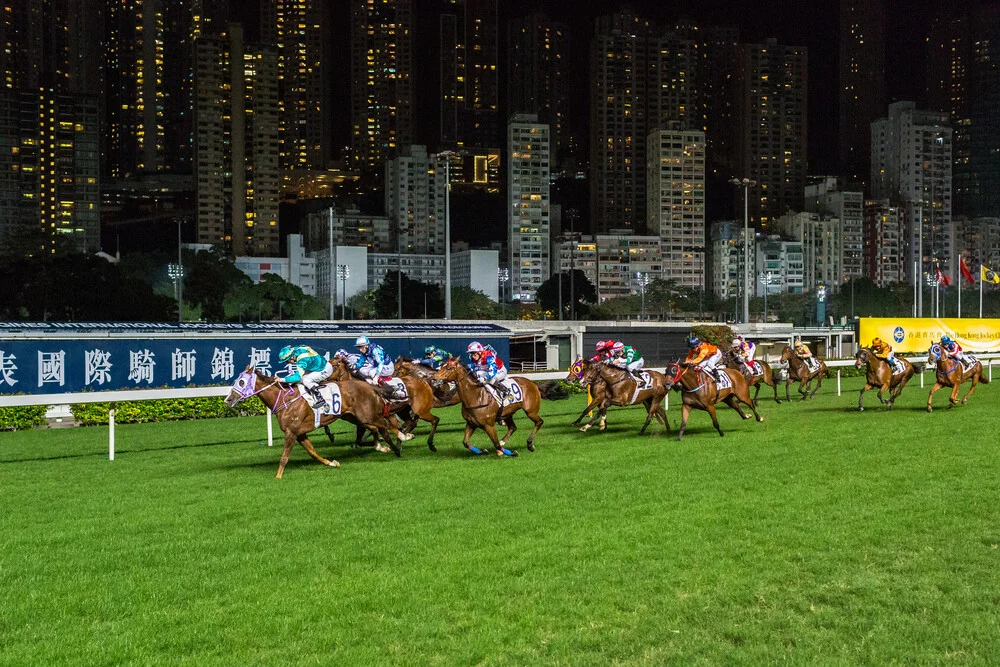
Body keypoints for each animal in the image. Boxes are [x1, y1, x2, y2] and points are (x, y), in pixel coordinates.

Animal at [225, 366, 400, 480]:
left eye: (241, 382)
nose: (228, 400)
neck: (284, 400)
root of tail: (370, 386)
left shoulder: (291, 432)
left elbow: (284, 457)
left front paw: (278, 477)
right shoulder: (300, 433)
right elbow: (312, 452)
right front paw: (332, 463)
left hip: (367, 414)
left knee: (387, 425)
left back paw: (401, 439)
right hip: (355, 417)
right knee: (378, 427)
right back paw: (386, 446)